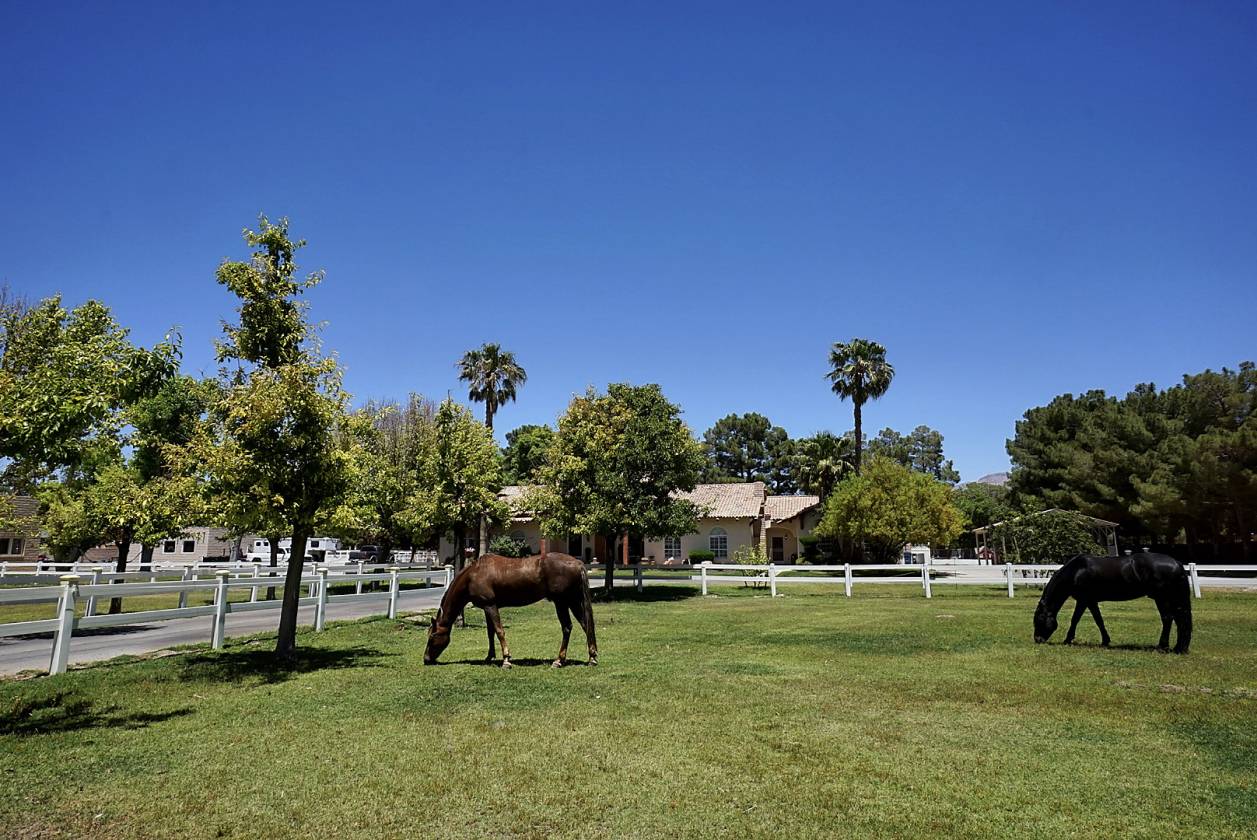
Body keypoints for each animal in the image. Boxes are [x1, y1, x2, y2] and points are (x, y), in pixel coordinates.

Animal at [423, 552, 598, 668]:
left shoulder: (491, 606)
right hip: (573, 601)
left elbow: (499, 631)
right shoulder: (487, 607)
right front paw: (489, 656)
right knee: (586, 625)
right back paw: (592, 657)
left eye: (432, 636)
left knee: (567, 627)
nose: (426, 659)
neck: (474, 574)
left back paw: (559, 660)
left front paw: (506, 660)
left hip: (561, 602)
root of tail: (578, 563)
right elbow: (490, 632)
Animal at [1033, 552, 1192, 653]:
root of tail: (1177, 563)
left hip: (1162, 598)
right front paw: (1105, 641)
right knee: (1180, 620)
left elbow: (1075, 619)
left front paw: (1068, 640)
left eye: (1039, 619)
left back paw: (1162, 647)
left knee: (1168, 619)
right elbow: (1099, 620)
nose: (1037, 639)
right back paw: (1178, 648)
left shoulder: (1084, 600)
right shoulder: (1091, 601)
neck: (1077, 570)